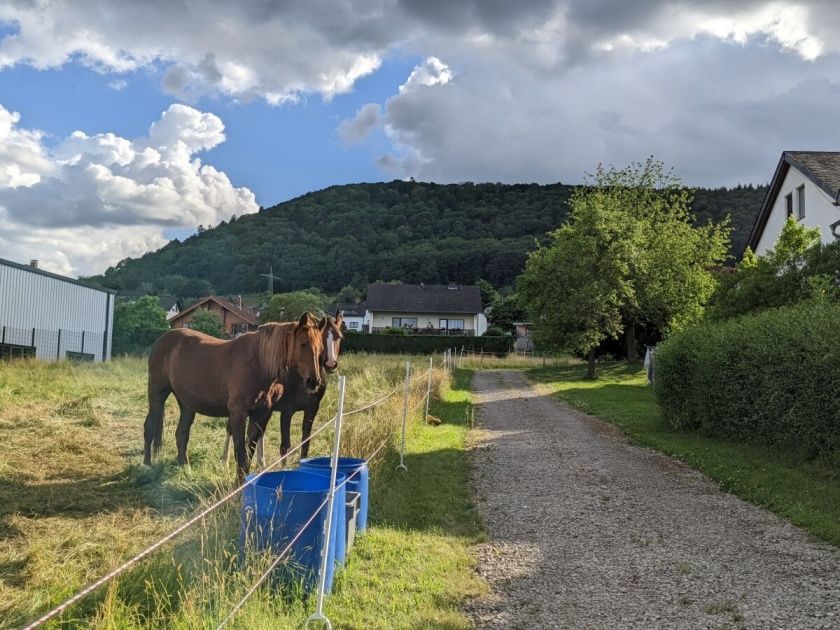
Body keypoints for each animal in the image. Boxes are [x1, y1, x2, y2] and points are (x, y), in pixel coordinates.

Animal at [144, 314, 324, 482]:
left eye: (320, 348)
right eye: (303, 344)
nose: (314, 381)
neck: (258, 362)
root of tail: (162, 340)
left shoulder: (260, 414)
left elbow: (250, 450)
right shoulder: (238, 414)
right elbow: (240, 453)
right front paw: (238, 484)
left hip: (186, 404)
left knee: (181, 433)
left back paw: (186, 469)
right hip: (157, 394)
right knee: (150, 426)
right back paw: (147, 465)